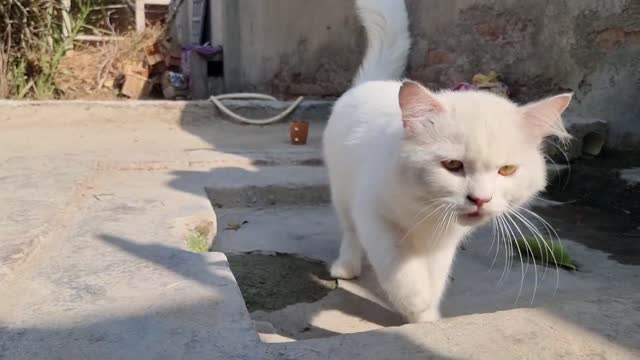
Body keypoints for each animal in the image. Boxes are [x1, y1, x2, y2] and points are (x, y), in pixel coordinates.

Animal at [322, 0, 572, 324]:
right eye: (453, 165)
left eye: (506, 170)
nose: (480, 199)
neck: (425, 211)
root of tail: (376, 82)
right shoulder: (374, 216)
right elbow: (400, 268)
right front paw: (417, 302)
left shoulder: (445, 241)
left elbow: (436, 276)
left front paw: (427, 318)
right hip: (342, 193)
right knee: (350, 231)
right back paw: (347, 266)